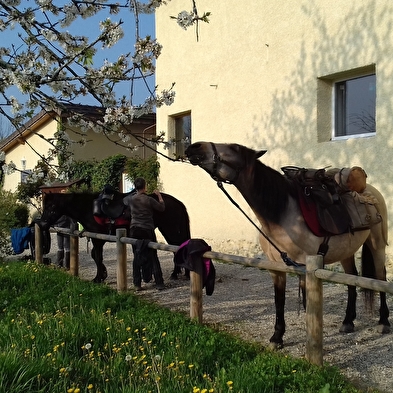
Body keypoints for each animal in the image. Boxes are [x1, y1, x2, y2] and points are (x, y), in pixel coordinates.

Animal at [38, 189, 190, 282]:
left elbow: (97, 256)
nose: (42, 224)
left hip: (170, 229)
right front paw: (103, 274)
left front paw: (98, 277)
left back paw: (180, 273)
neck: (88, 208)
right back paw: (177, 273)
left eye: (51, 207)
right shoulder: (98, 238)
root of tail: (177, 202)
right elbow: (95, 255)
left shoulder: (98, 239)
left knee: (178, 246)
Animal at [187, 141, 388, 346]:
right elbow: (279, 300)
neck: (281, 214)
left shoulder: (304, 267)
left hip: (377, 245)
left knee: (381, 278)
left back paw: (383, 322)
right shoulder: (276, 268)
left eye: (234, 148)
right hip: (346, 251)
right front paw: (277, 337)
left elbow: (308, 304)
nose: (194, 146)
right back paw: (348, 321)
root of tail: (371, 190)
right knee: (352, 279)